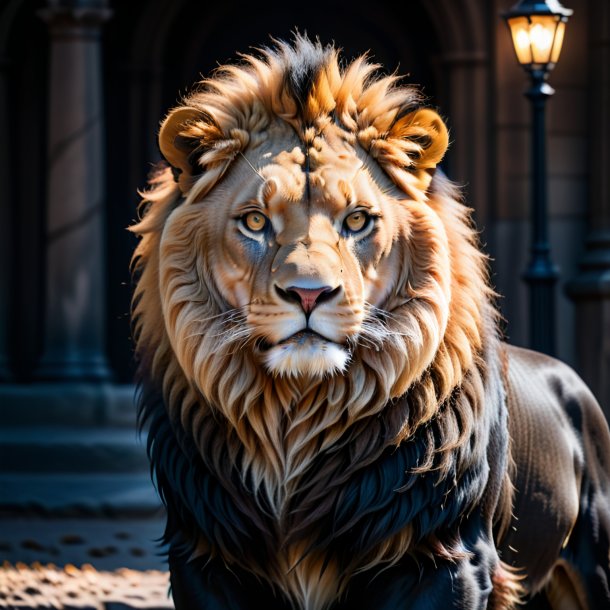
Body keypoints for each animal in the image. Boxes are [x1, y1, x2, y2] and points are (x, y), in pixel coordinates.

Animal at [131, 34, 608, 608]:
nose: (308, 294)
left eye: (356, 219)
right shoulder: (203, 556)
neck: (297, 421)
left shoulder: (451, 557)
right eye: (255, 221)